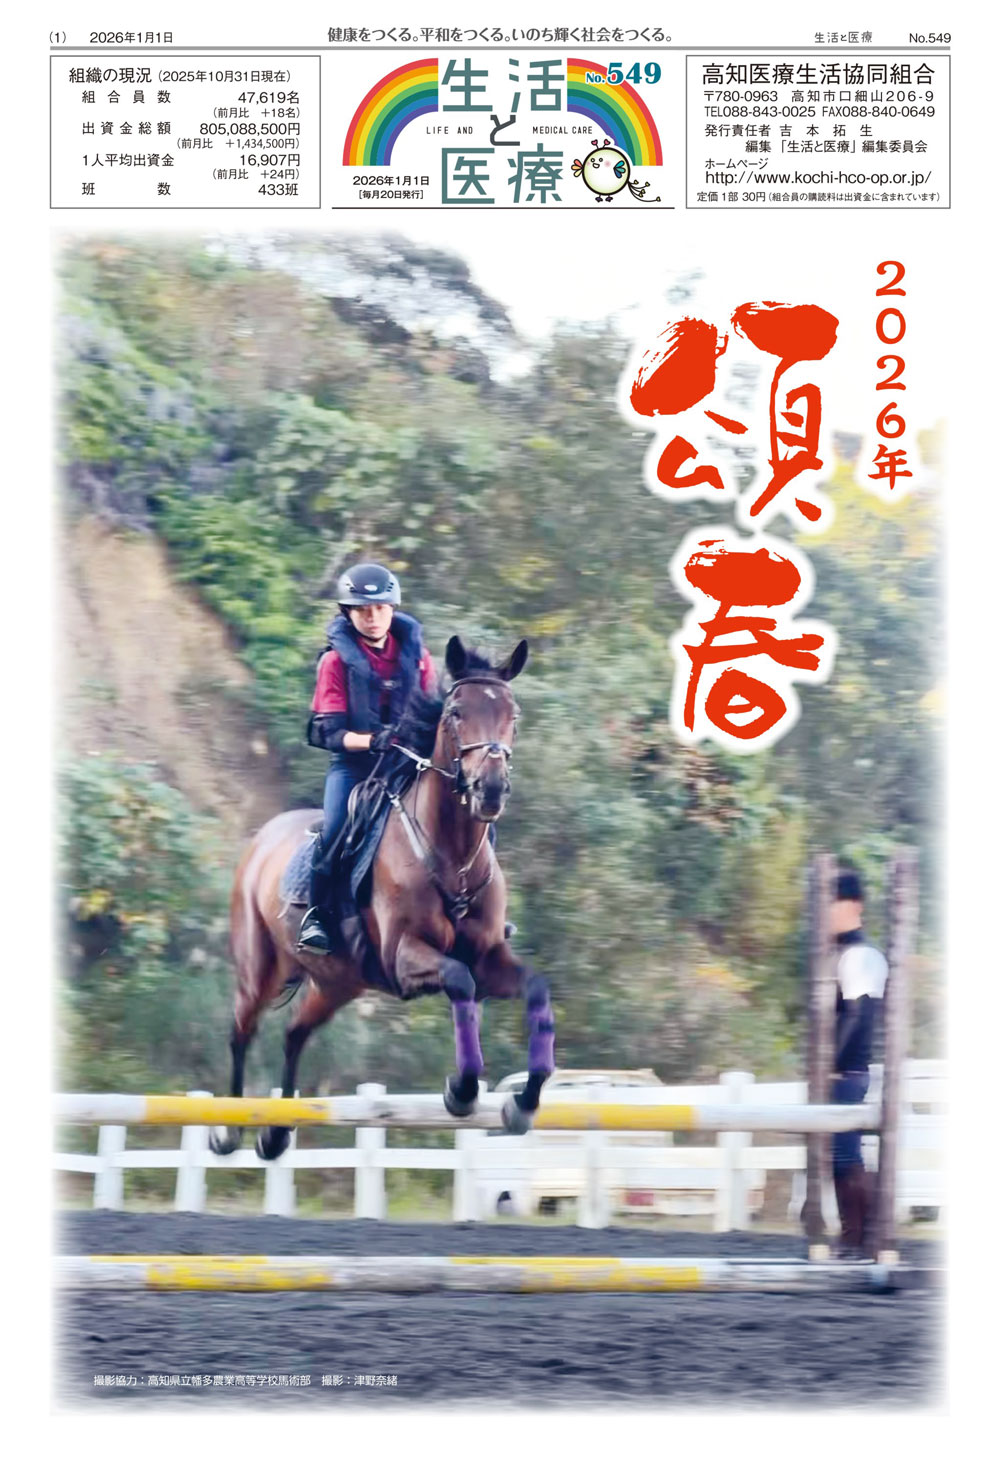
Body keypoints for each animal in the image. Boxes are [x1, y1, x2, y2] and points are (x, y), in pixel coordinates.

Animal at [208, 634, 555, 1160]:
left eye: (512, 715)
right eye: (456, 712)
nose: (490, 789)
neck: (451, 856)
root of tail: (261, 840)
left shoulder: (488, 957)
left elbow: (534, 989)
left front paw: (524, 1102)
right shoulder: (404, 957)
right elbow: (459, 982)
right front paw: (461, 1091)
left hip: (337, 982)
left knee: (294, 1033)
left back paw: (276, 1132)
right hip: (260, 968)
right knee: (240, 1030)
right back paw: (230, 1129)